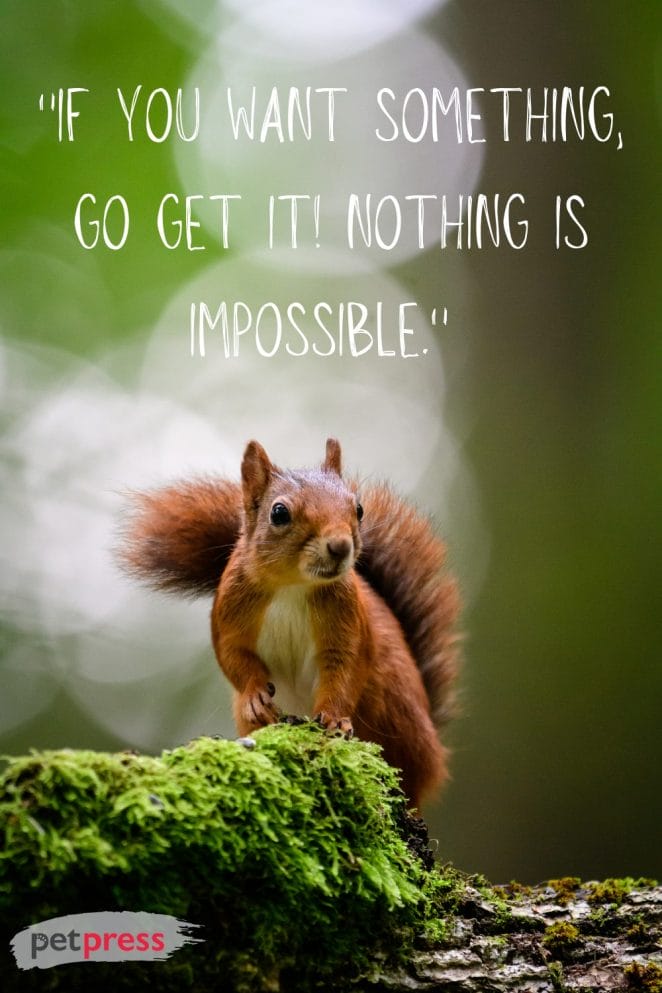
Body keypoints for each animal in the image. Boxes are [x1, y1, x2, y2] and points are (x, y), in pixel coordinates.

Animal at [119, 438, 460, 810]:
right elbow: (232, 656)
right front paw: (254, 697)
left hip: (396, 710)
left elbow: (346, 668)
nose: (340, 546)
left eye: (358, 509)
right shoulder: (228, 614)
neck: (293, 585)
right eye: (279, 513)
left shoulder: (349, 625)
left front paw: (334, 718)